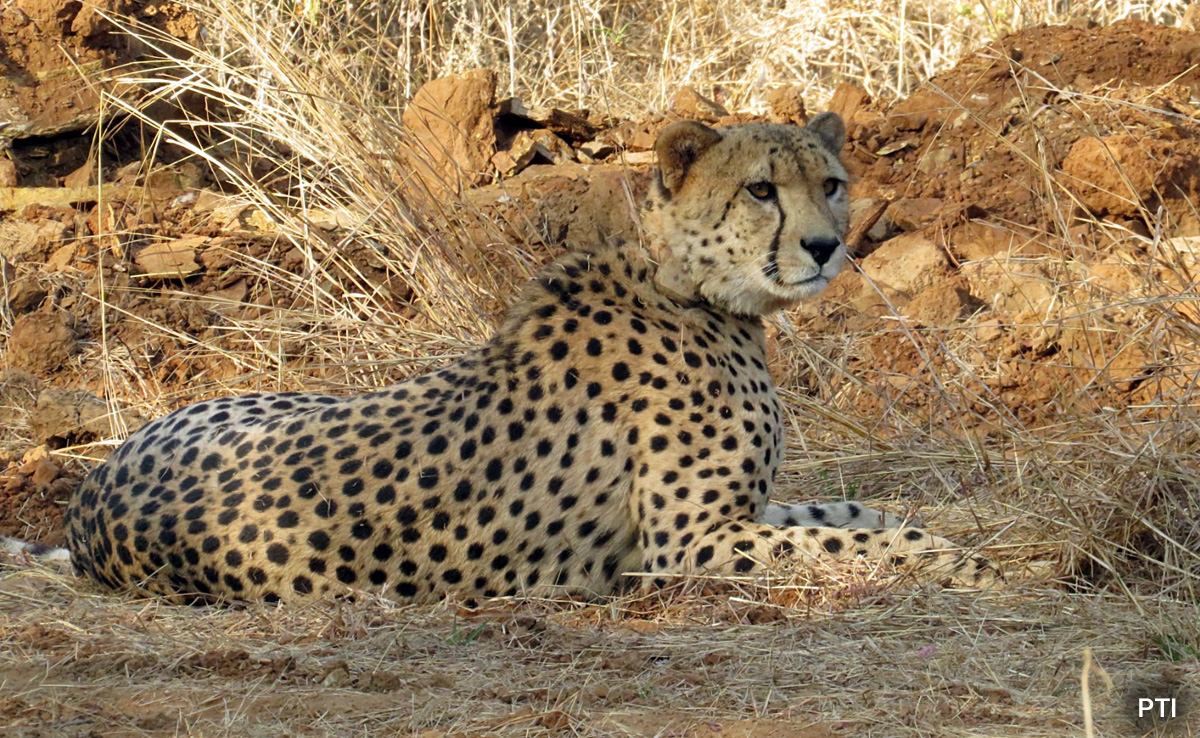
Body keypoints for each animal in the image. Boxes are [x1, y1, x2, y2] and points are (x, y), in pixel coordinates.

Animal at [63, 112, 997, 605]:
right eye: (760, 190)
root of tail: (87, 502)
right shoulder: (686, 544)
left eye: (830, 182)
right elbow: (844, 542)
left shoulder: (739, 514)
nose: (826, 246)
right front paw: (957, 563)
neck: (689, 287)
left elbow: (851, 514)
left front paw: (937, 538)